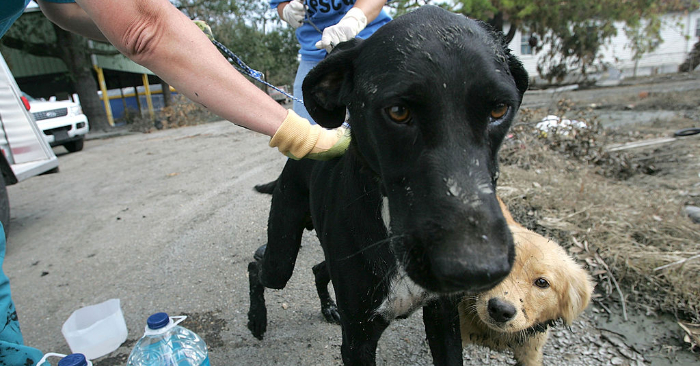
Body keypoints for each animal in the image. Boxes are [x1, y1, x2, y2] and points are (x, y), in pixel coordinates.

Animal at [249, 6, 528, 366]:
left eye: (499, 109)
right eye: (398, 111)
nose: (477, 269)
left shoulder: (443, 318)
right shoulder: (358, 340)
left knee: (317, 268)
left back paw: (327, 307)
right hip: (282, 255)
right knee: (258, 264)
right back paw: (256, 318)